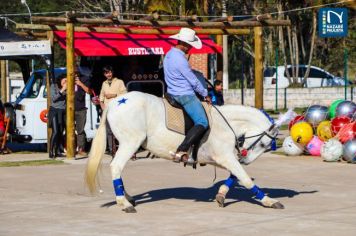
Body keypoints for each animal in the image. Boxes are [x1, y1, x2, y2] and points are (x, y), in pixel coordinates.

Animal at [86, 91, 290, 212]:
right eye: (264, 145)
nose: (245, 158)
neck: (226, 123)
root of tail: (115, 102)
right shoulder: (225, 157)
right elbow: (245, 178)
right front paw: (269, 201)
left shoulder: (225, 159)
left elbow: (234, 176)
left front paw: (221, 195)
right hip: (130, 143)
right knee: (116, 166)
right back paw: (124, 203)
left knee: (118, 169)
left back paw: (127, 197)